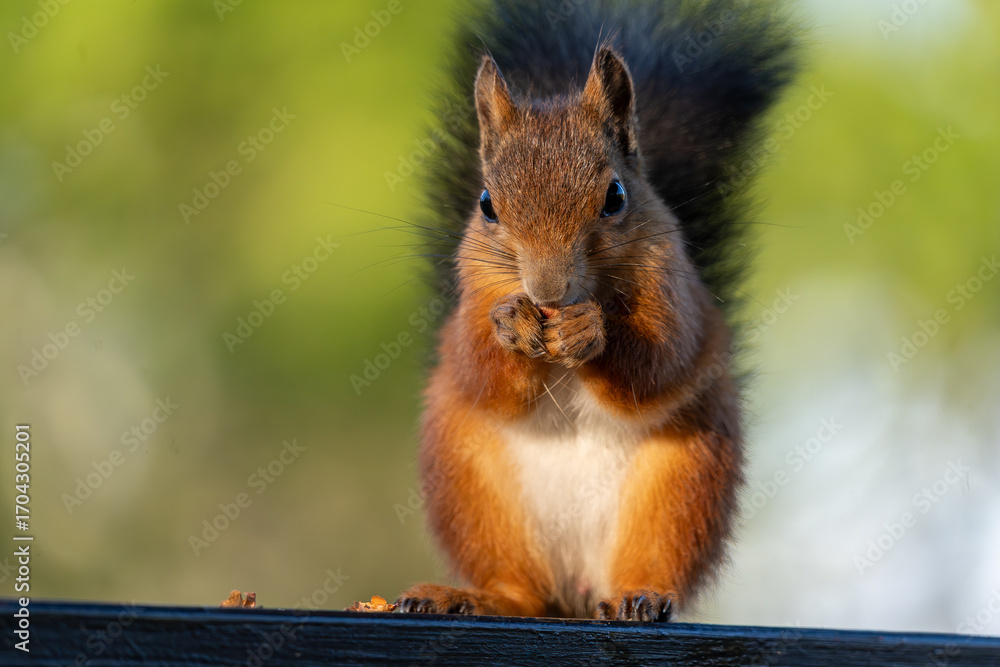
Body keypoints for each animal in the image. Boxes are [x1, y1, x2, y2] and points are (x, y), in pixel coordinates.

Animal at [396, 0, 798, 621]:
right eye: (487, 205)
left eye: (615, 198)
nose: (547, 291)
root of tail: (578, 591)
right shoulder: (470, 298)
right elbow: (479, 369)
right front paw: (511, 322)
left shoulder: (674, 289)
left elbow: (658, 361)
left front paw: (591, 331)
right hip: (472, 486)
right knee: (523, 593)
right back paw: (474, 597)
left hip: (681, 482)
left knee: (649, 561)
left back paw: (639, 595)